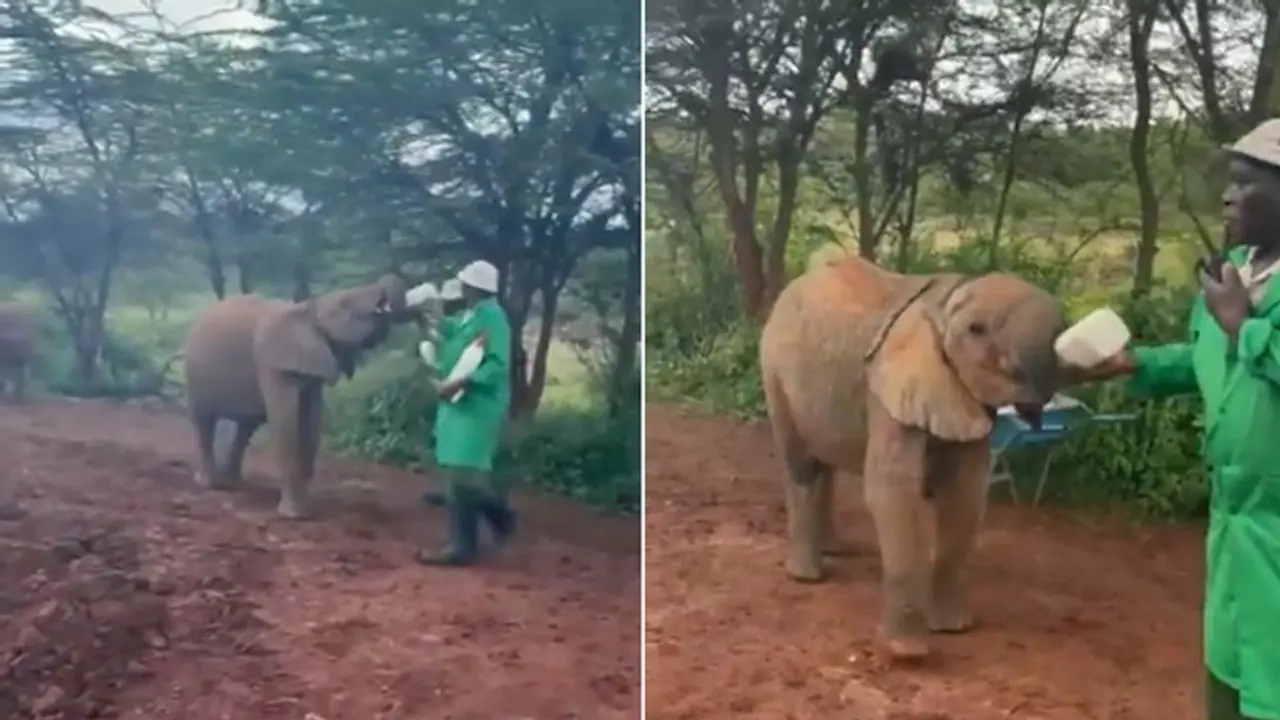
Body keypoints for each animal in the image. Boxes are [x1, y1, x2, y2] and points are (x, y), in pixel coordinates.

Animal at [182, 274, 409, 519]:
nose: (388, 280)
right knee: (204, 422)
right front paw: (293, 515)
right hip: (195, 375)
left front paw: (306, 510)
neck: (307, 309)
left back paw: (229, 484)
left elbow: (311, 424)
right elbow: (286, 423)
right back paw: (209, 484)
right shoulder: (273, 363)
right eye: (345, 302)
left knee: (246, 427)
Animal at [758, 245, 1068, 661]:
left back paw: (836, 551)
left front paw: (954, 629)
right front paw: (908, 652)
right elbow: (894, 492)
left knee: (826, 461)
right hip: (774, 372)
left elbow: (965, 494)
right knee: (802, 465)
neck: (944, 304)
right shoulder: (889, 388)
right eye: (977, 330)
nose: (1036, 414)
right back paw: (808, 577)